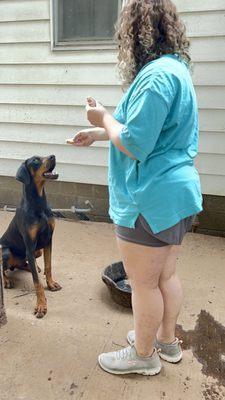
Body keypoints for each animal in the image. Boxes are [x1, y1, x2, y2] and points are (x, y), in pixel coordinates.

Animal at [0, 155, 61, 318]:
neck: (39, 203)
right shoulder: (29, 244)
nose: (53, 156)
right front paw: (41, 306)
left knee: (24, 263)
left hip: (36, 251)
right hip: (6, 251)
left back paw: (32, 267)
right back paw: (7, 280)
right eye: (35, 160)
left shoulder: (48, 241)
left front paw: (51, 284)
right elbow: (36, 282)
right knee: (3, 268)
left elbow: (48, 266)